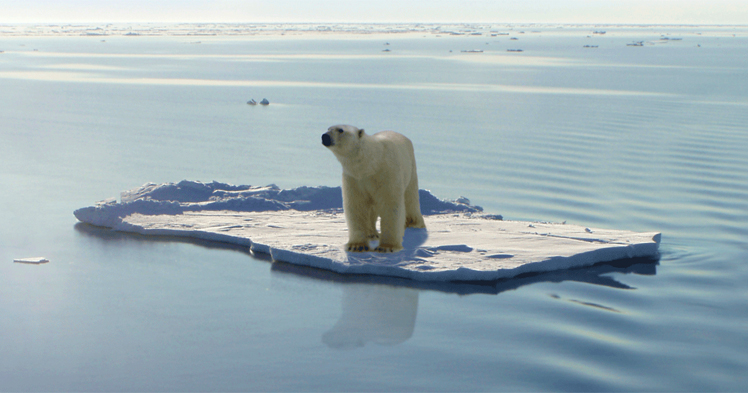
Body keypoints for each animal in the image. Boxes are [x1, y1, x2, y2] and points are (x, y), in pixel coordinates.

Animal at [322, 124, 426, 253]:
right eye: (328, 128)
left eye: (340, 130)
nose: (325, 136)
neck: (371, 164)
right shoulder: (355, 178)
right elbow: (357, 206)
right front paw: (356, 245)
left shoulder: (387, 174)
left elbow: (390, 205)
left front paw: (387, 246)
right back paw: (372, 233)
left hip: (410, 168)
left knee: (410, 198)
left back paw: (414, 223)